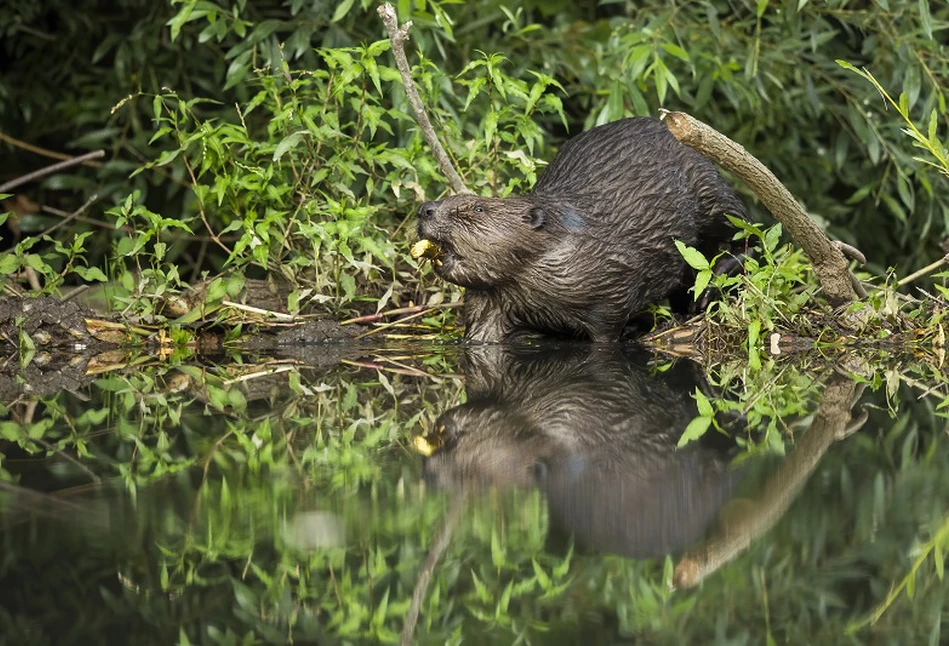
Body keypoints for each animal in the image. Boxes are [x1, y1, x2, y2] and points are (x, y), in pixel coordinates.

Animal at [414, 119, 748, 346]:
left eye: (477, 208)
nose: (425, 209)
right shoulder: (490, 301)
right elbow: (481, 335)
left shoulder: (613, 284)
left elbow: (606, 331)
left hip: (710, 192)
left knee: (744, 229)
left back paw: (711, 286)